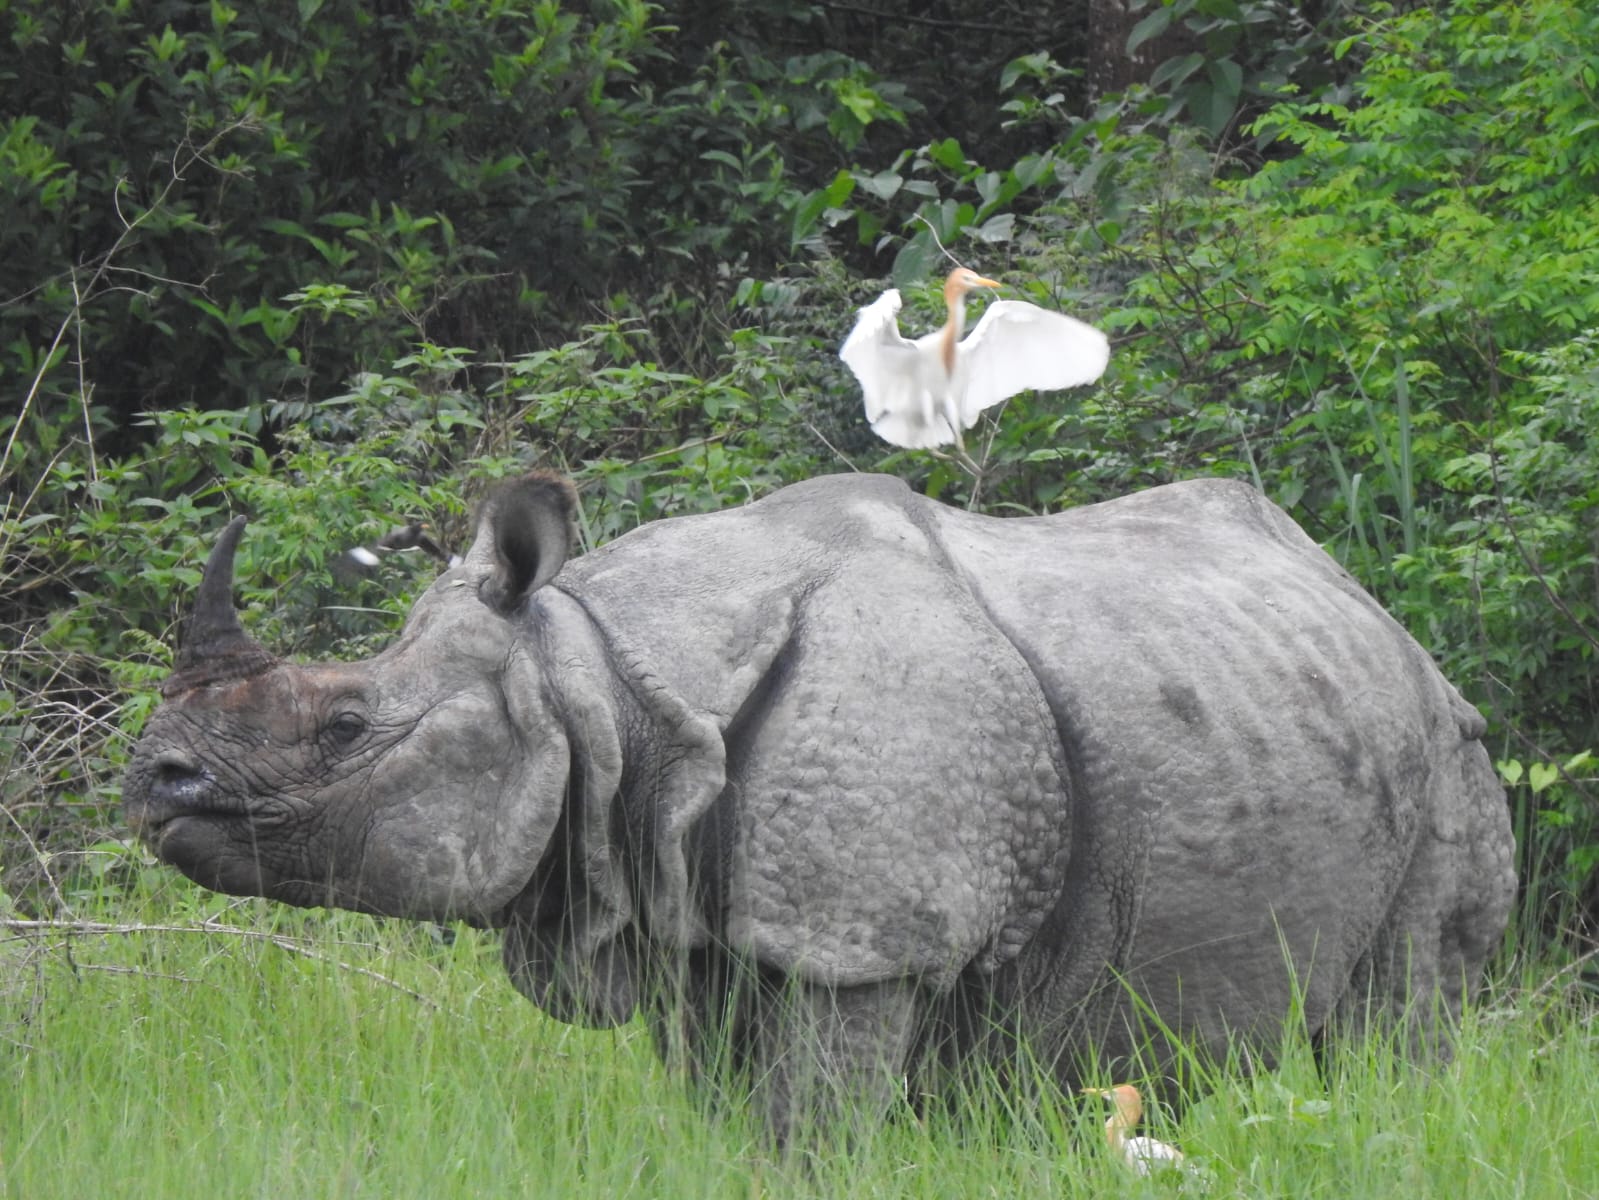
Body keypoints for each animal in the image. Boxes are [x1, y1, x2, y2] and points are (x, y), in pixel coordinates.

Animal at [123, 472, 1515, 1135]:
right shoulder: (691, 919)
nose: (152, 781)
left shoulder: (861, 940)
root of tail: (1370, 606)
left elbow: (813, 1131)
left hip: (1449, 745)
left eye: (345, 726)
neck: (606, 693)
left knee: (1406, 1015)